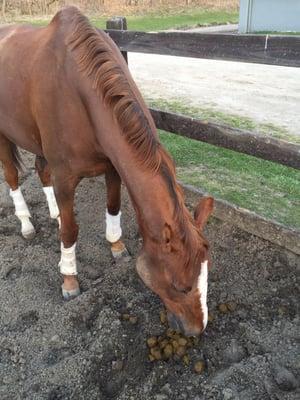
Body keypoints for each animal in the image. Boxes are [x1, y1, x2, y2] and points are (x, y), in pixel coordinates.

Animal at [0, 7, 213, 336]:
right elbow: (71, 232)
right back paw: (26, 224)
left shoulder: (113, 166)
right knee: (12, 177)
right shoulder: (65, 178)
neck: (79, 92)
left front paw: (116, 246)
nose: (197, 329)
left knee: (40, 170)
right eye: (180, 287)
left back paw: (54, 212)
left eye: (206, 276)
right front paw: (69, 279)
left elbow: (113, 207)